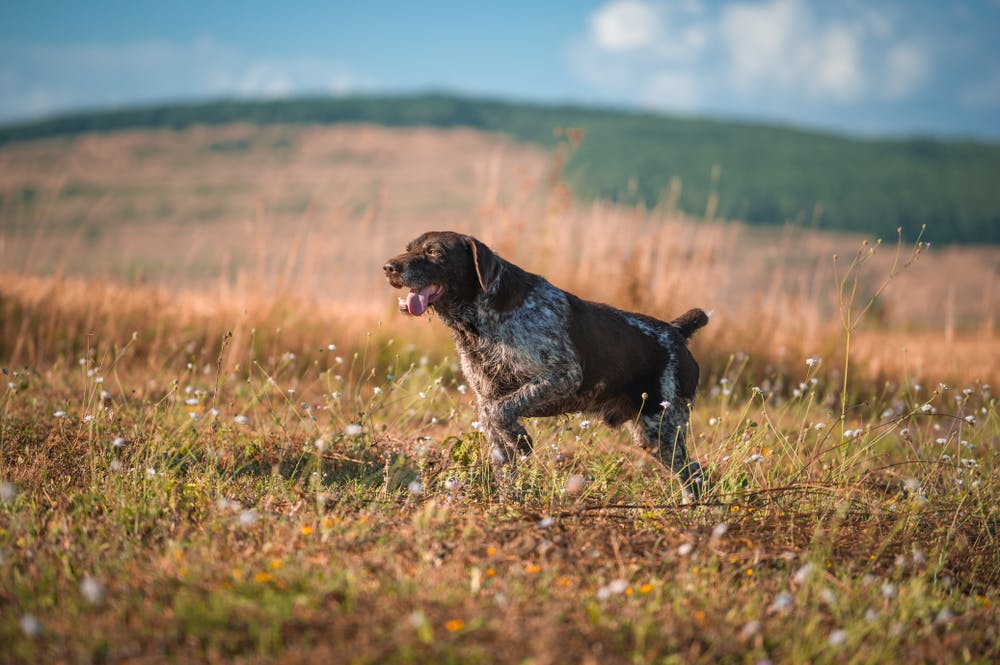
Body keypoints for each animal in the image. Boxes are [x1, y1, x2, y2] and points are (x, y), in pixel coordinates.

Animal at [384, 232, 712, 498]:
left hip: (663, 428)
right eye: (409, 248)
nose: (389, 267)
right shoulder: (487, 396)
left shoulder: (563, 376)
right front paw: (509, 501)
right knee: (693, 473)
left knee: (696, 475)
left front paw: (521, 440)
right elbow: (498, 439)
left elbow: (501, 412)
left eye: (434, 252)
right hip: (652, 436)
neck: (479, 321)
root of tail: (676, 331)